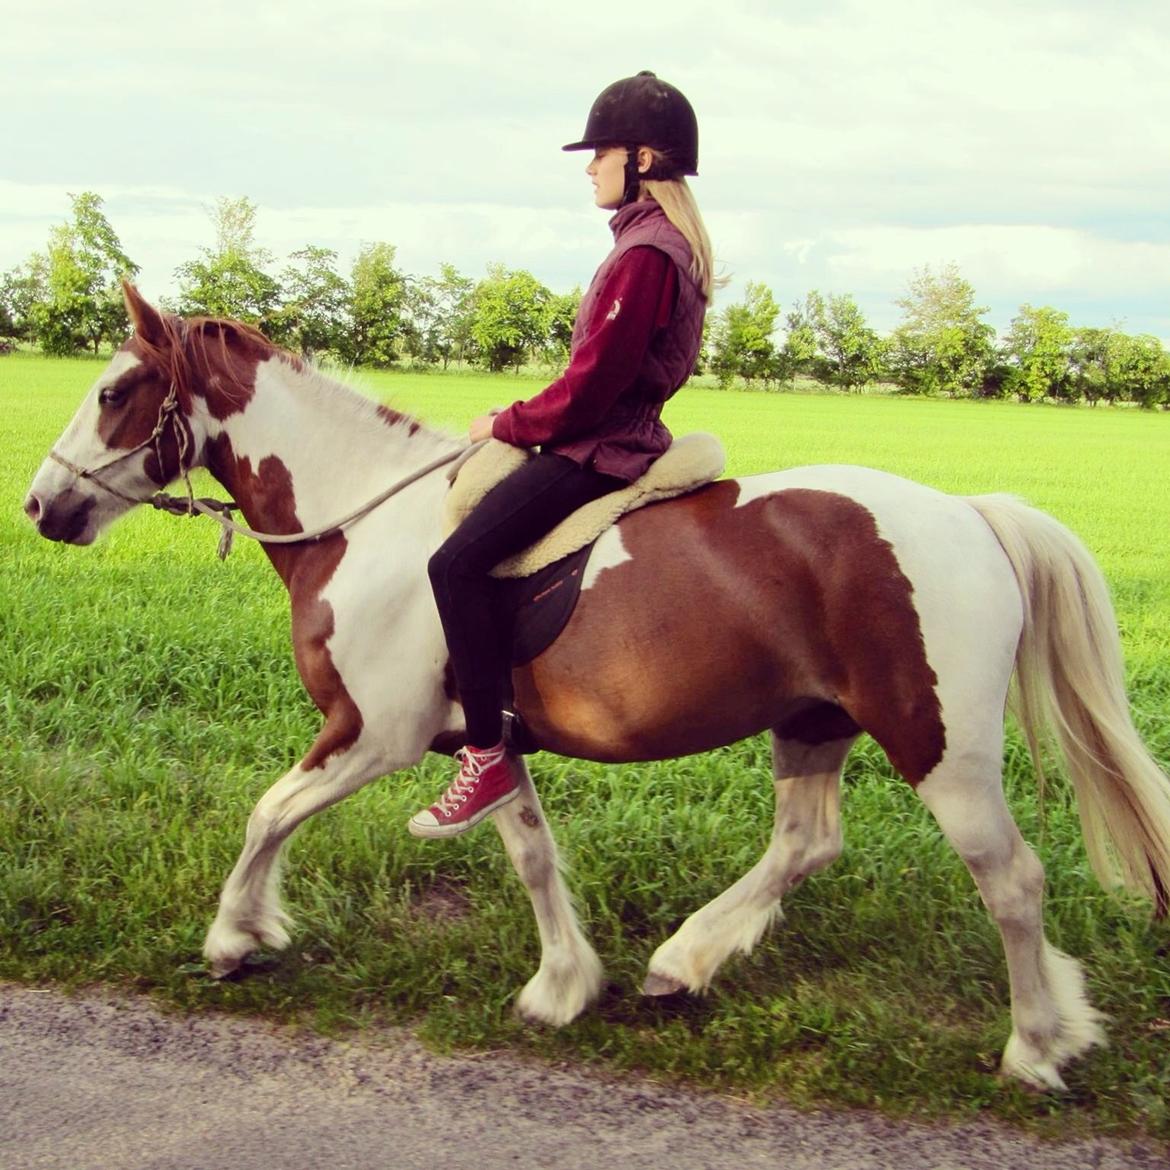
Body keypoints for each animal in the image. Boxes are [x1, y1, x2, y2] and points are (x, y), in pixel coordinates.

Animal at [20, 283, 1170, 1085]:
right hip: (812, 721)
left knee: (1012, 882)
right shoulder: (481, 742)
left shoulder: (373, 732)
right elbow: (530, 853)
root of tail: (972, 513)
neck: (362, 523)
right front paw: (564, 987)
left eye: (114, 392)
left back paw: (1036, 1047)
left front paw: (236, 936)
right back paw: (685, 963)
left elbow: (268, 811)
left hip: (942, 748)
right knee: (806, 844)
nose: (39, 507)